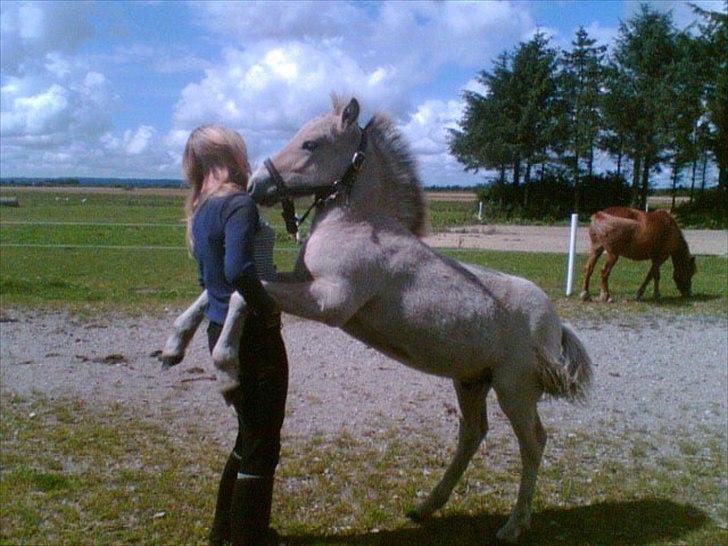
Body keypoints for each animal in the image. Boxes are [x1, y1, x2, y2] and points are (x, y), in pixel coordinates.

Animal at [162, 96, 596, 540]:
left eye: (312, 143)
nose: (255, 185)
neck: (357, 225)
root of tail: (556, 325)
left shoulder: (328, 301)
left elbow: (236, 295)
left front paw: (226, 370)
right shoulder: (301, 283)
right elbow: (226, 290)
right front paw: (174, 347)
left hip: (515, 390)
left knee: (534, 443)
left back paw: (512, 525)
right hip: (472, 381)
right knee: (473, 435)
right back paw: (426, 506)